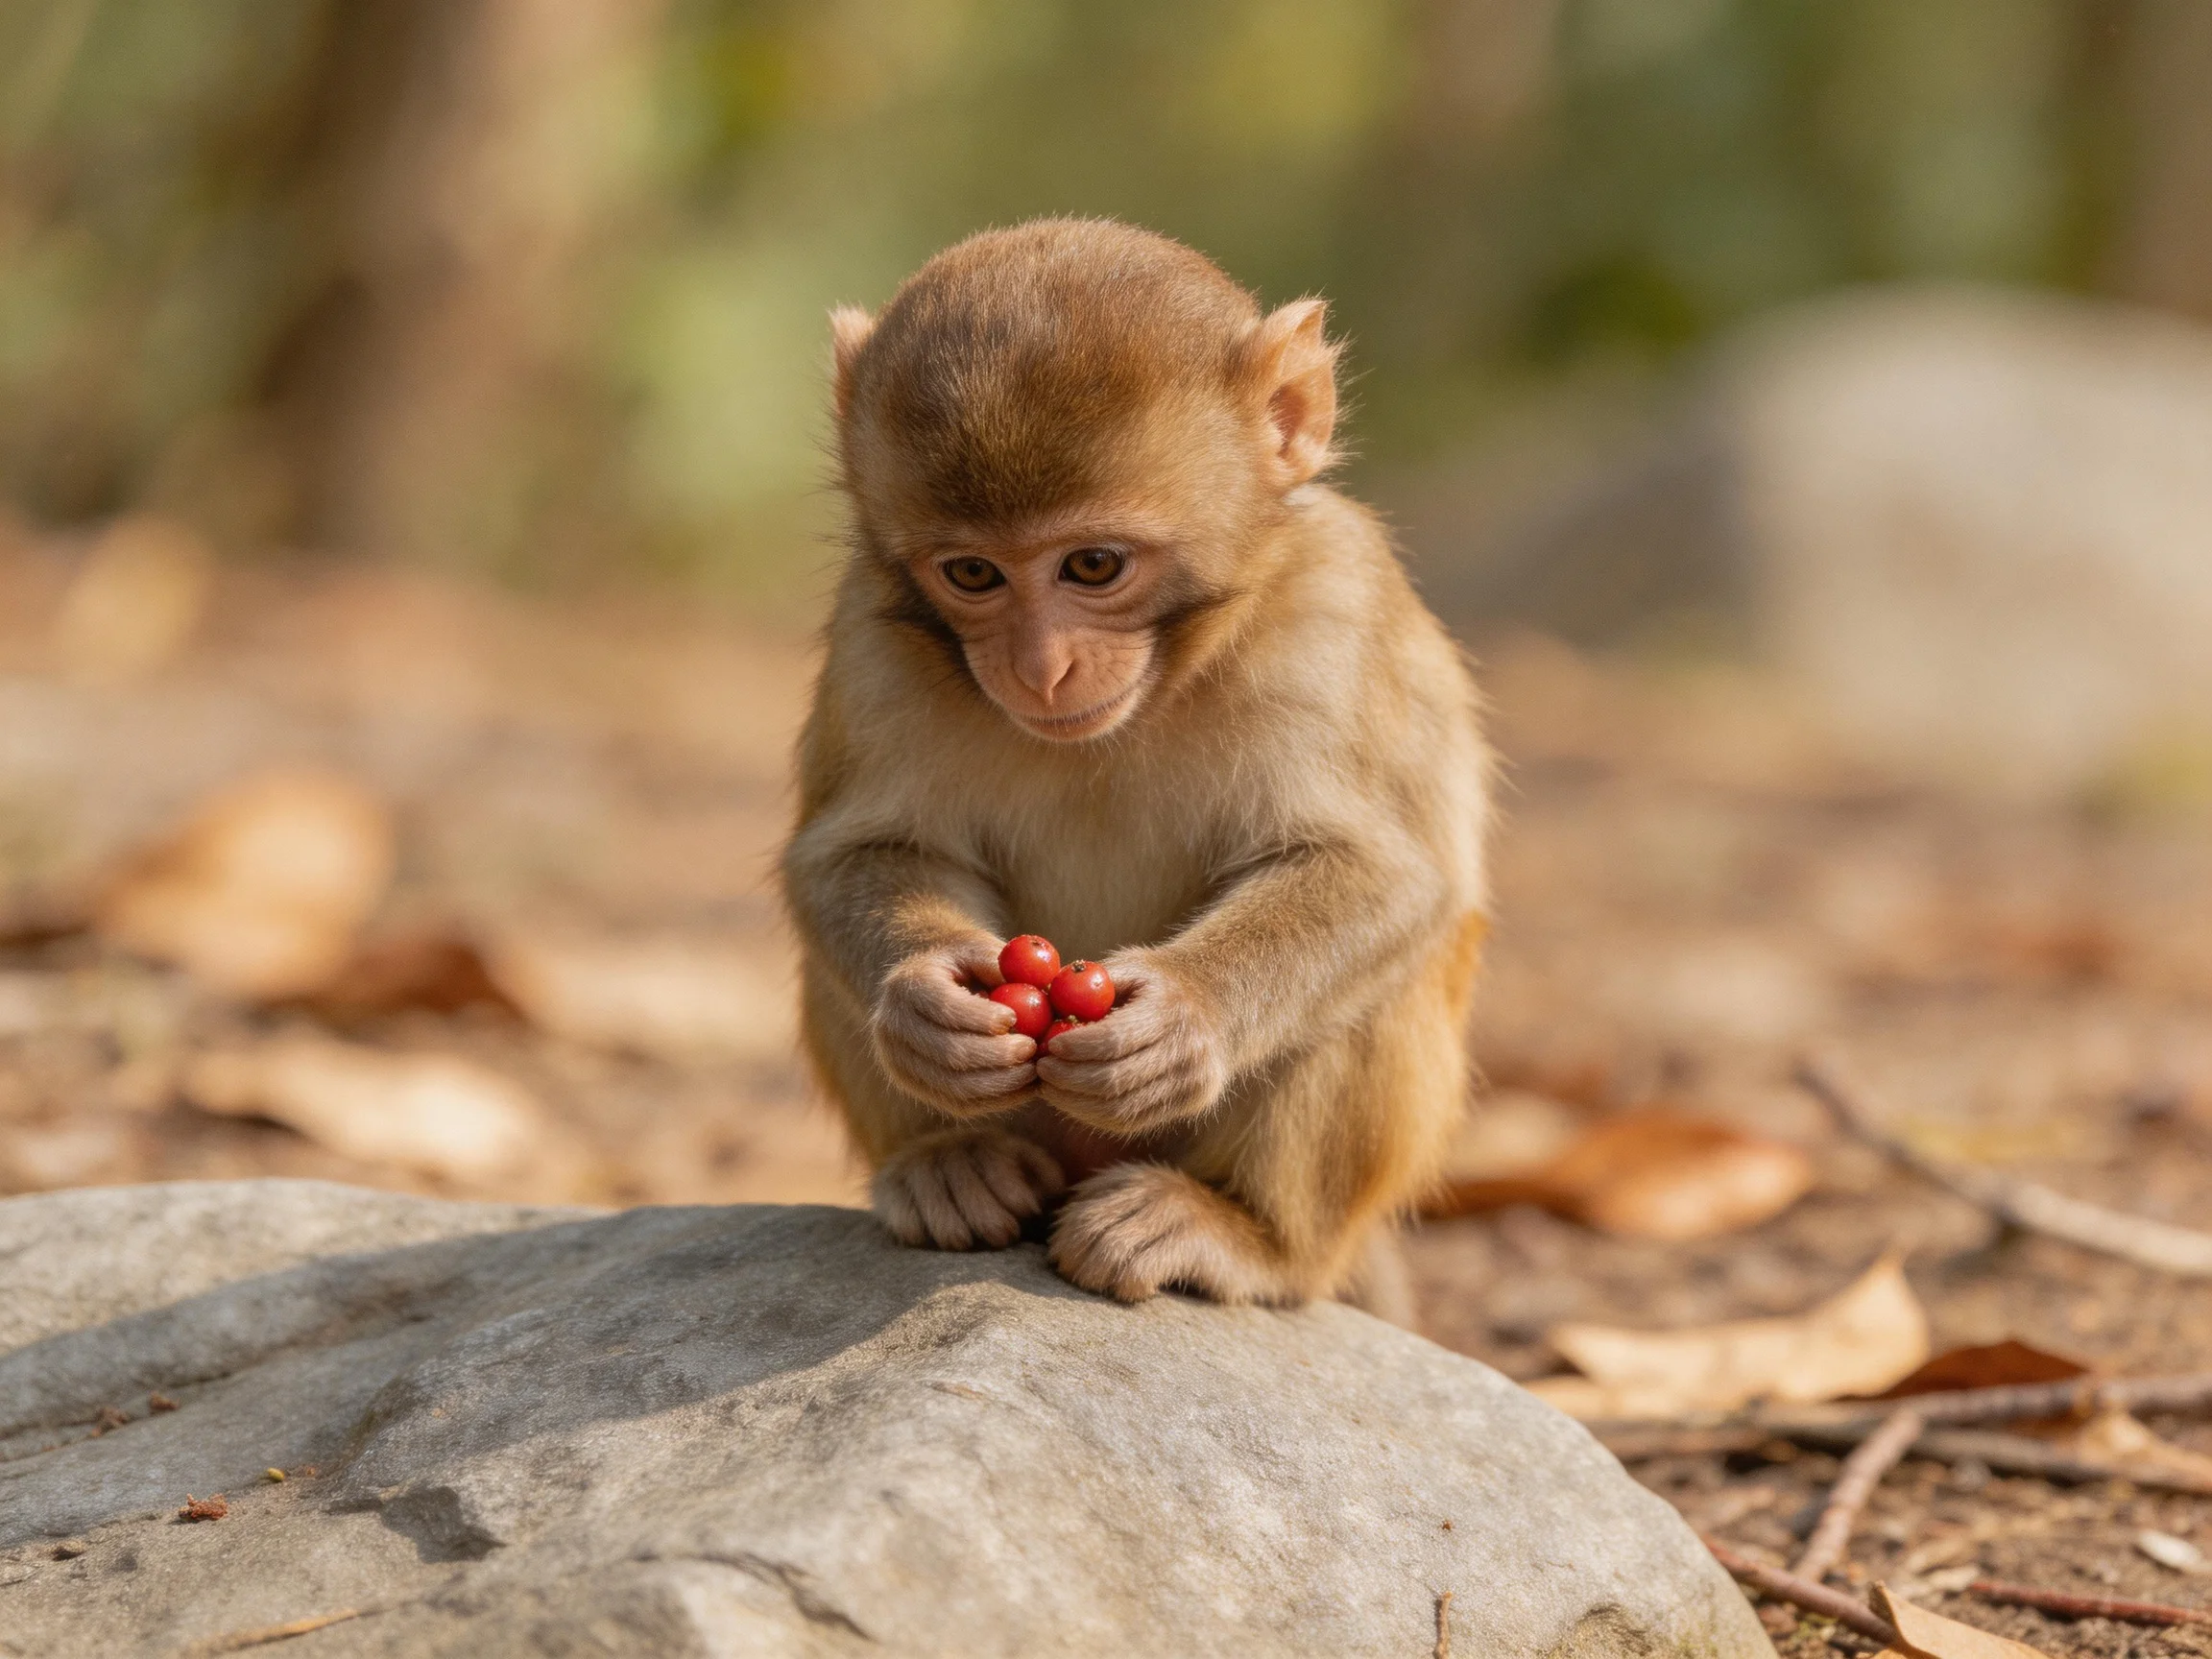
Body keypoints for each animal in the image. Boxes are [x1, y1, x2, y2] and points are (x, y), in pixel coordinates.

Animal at [780, 218, 1491, 1313]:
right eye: (973, 573)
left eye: (1093, 566)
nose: (1042, 666)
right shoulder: (872, 629)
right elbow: (851, 853)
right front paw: (926, 1008)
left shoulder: (1339, 605)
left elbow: (1390, 873)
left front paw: (1186, 1018)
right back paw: (950, 1164)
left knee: (1375, 989)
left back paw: (1244, 1236)